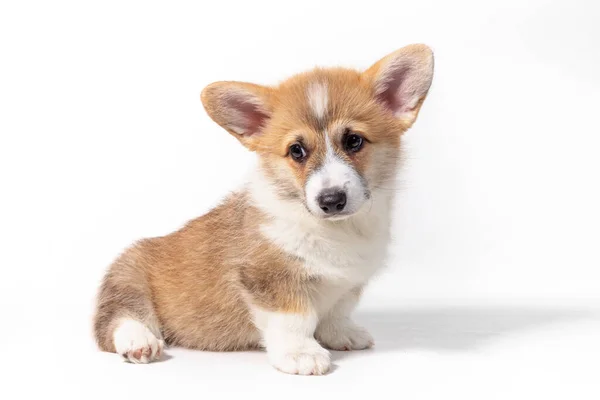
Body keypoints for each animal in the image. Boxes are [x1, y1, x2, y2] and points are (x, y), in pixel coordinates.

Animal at [92, 43, 432, 376]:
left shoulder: (349, 283)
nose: (331, 200)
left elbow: (338, 310)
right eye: (297, 150)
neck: (336, 229)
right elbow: (294, 319)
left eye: (353, 141)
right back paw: (139, 341)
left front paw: (340, 334)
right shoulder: (269, 278)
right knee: (116, 318)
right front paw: (301, 354)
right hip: (128, 275)